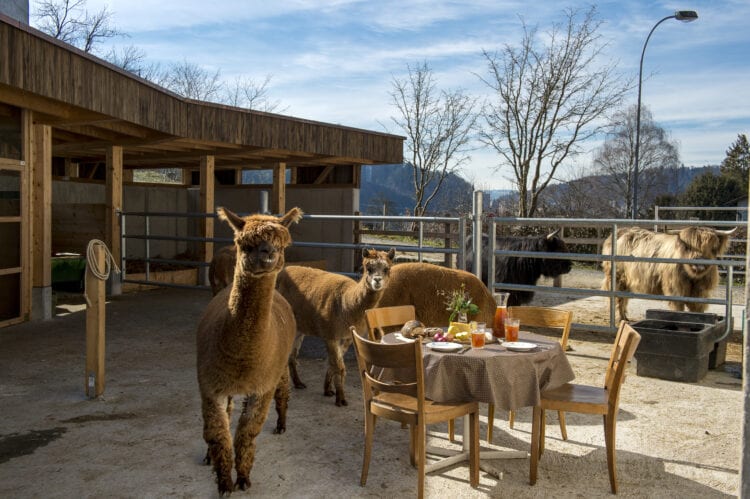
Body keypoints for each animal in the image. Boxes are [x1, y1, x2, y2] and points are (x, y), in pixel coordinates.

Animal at [604, 227, 736, 320]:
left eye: (711, 247)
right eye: (688, 247)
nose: (698, 263)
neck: (692, 277)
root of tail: (621, 231)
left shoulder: (700, 292)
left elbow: (697, 309)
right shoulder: (675, 290)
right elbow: (678, 308)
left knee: (624, 298)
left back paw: (625, 317)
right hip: (618, 277)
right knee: (618, 298)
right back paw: (621, 318)